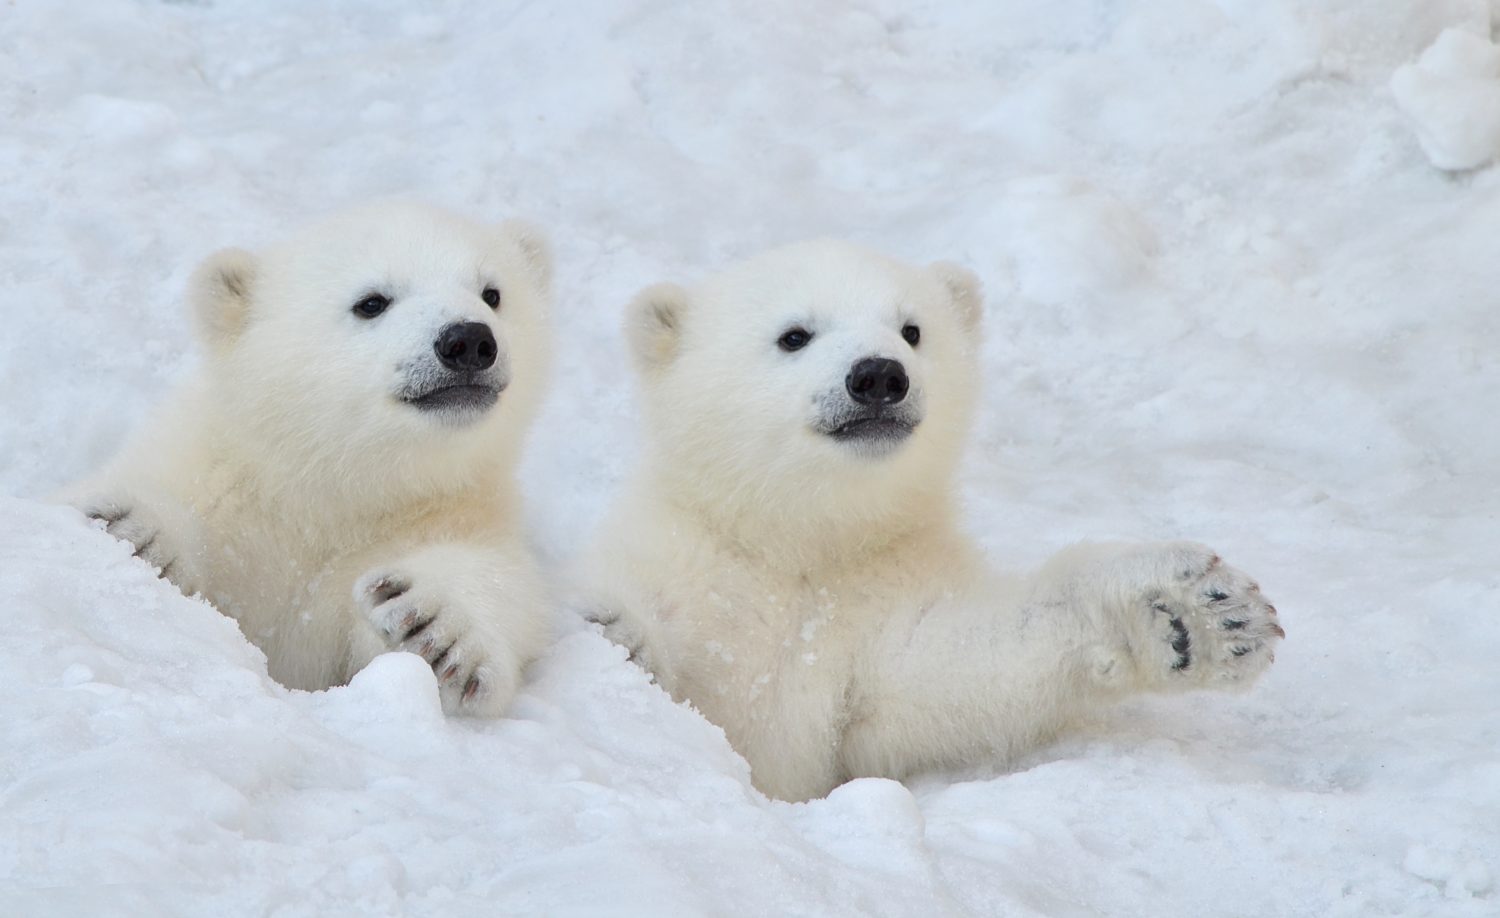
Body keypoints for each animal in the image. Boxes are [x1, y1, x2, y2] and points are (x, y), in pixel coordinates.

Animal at [65, 202, 554, 716]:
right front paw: (135, 531)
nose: (468, 341)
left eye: (492, 293)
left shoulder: (450, 515)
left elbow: (499, 586)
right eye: (372, 301)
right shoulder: (222, 484)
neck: (328, 491)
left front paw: (436, 627)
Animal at [577, 239, 1285, 802]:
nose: (878, 376)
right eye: (794, 334)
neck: (800, 544)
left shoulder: (880, 602)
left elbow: (948, 666)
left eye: (912, 329)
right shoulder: (690, 573)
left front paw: (1194, 612)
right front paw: (612, 631)